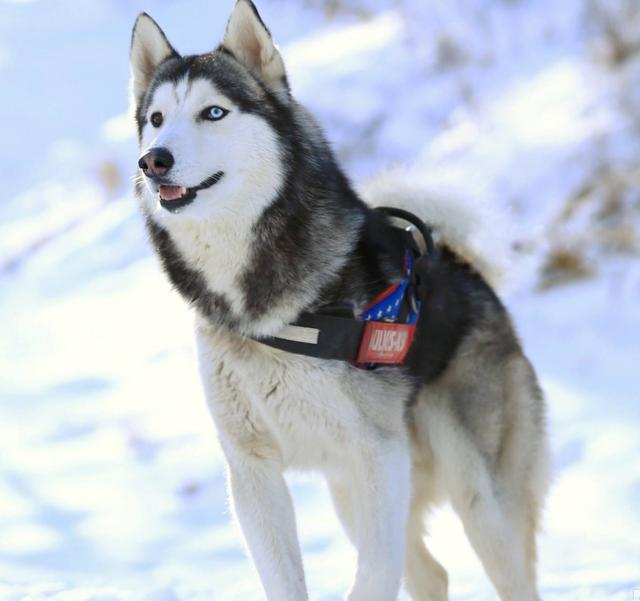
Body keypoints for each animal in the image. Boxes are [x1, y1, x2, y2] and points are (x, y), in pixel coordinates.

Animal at [130, 2, 552, 596]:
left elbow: (373, 575)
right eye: (157, 118)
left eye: (214, 112)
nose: (154, 161)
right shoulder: (253, 469)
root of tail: (462, 264)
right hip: (350, 492)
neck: (260, 303)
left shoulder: (379, 455)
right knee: (432, 574)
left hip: (477, 496)